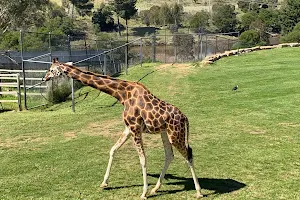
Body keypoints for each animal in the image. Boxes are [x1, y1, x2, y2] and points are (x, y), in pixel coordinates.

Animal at [44, 57, 204, 198]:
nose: (44, 78)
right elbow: (113, 150)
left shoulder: (134, 127)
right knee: (170, 155)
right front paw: (104, 183)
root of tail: (185, 118)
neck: (122, 95)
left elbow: (142, 159)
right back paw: (156, 189)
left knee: (188, 154)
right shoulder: (128, 128)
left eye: (51, 70)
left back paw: (198, 192)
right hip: (165, 132)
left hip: (176, 134)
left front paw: (143, 193)